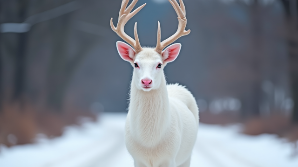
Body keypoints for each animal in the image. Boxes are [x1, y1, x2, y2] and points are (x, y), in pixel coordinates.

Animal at [110, 0, 199, 167]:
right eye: (136, 64)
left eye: (159, 64)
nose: (146, 81)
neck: (150, 142)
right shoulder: (138, 159)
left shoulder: (169, 159)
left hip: (186, 156)